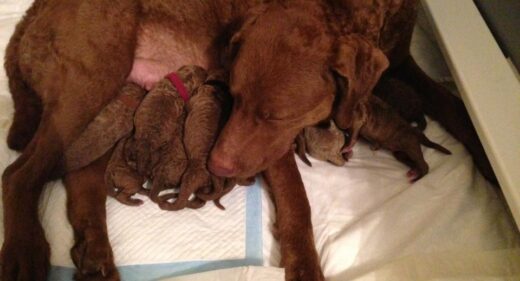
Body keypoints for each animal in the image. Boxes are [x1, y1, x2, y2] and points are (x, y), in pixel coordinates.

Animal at [1, 0, 496, 280]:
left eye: (274, 114)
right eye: (233, 97)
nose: (216, 167)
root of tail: (30, 15)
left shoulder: (400, 61)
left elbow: (455, 104)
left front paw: (491, 161)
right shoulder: (266, 146)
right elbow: (297, 202)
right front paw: (305, 266)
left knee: (78, 176)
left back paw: (95, 255)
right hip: (94, 76)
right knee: (20, 173)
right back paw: (27, 253)